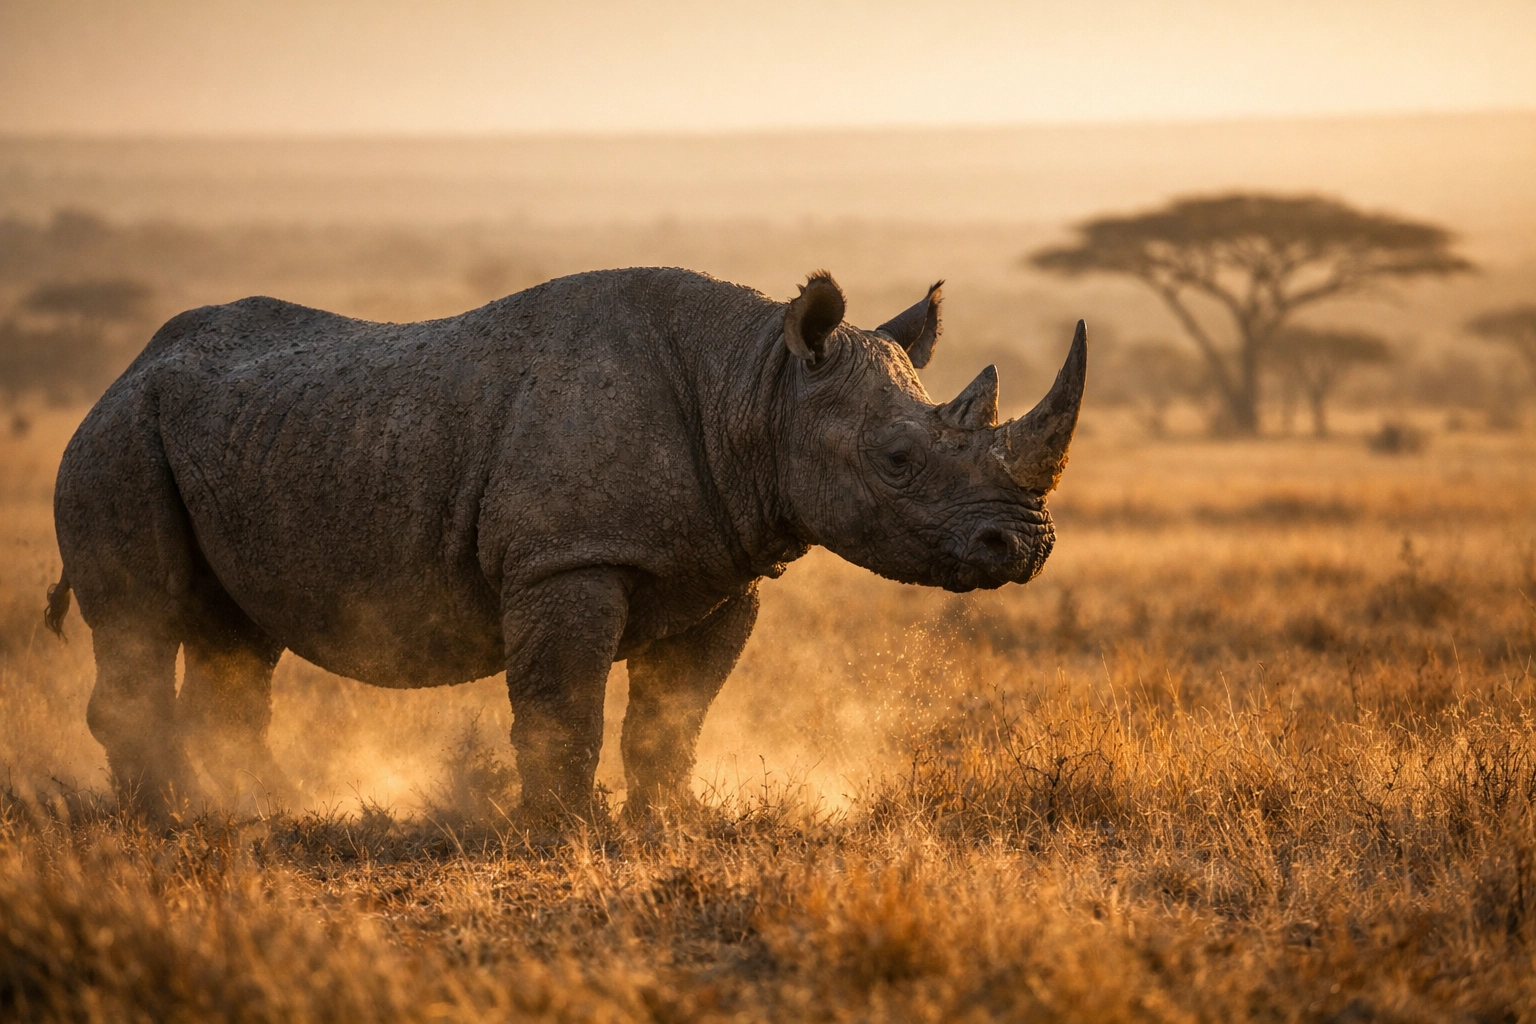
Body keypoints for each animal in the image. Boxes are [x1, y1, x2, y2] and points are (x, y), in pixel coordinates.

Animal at [46, 268, 1086, 818]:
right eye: (899, 460)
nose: (1025, 546)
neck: (755, 388)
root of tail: (125, 369)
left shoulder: (722, 568)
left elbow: (676, 713)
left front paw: (667, 823)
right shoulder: (567, 556)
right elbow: (562, 702)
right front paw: (561, 829)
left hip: (237, 437)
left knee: (238, 635)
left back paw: (248, 808)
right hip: (116, 438)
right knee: (141, 618)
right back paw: (162, 819)